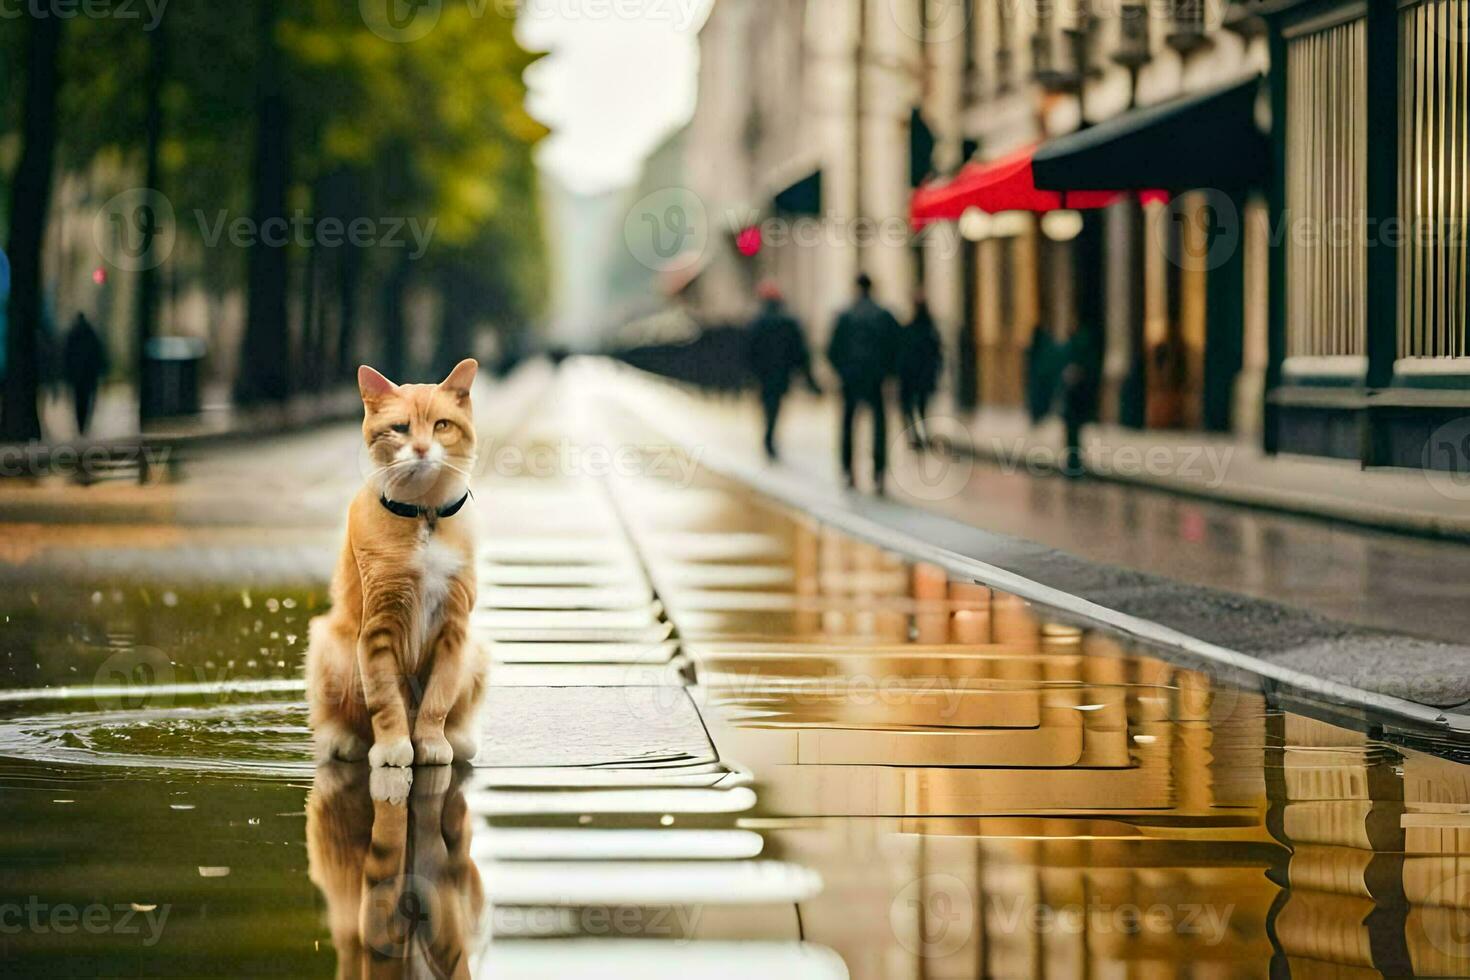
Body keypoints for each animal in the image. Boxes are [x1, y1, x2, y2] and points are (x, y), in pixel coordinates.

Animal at [304, 359, 488, 764]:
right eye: (400, 428)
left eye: (442, 425)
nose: (420, 447)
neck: (424, 516)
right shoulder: (378, 629)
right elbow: (386, 702)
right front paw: (393, 747)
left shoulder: (453, 631)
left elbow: (438, 699)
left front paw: (432, 743)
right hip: (330, 646)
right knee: (337, 720)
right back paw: (346, 742)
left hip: (478, 650)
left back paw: (458, 740)